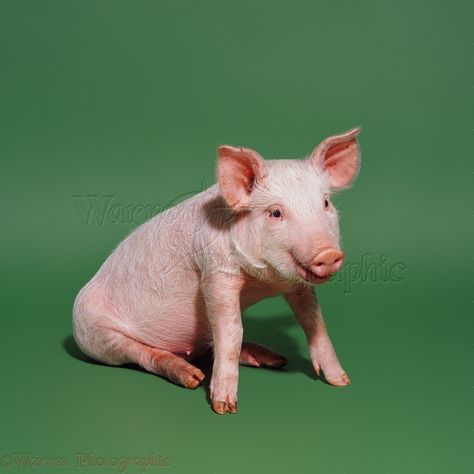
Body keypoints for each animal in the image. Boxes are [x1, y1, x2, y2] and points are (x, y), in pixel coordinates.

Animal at [73, 128, 360, 412]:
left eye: (325, 203)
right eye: (276, 213)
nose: (328, 253)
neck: (264, 280)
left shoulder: (297, 285)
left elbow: (313, 320)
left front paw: (341, 381)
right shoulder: (215, 272)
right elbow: (231, 329)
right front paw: (224, 407)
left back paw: (274, 359)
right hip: (96, 335)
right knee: (145, 354)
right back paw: (192, 377)